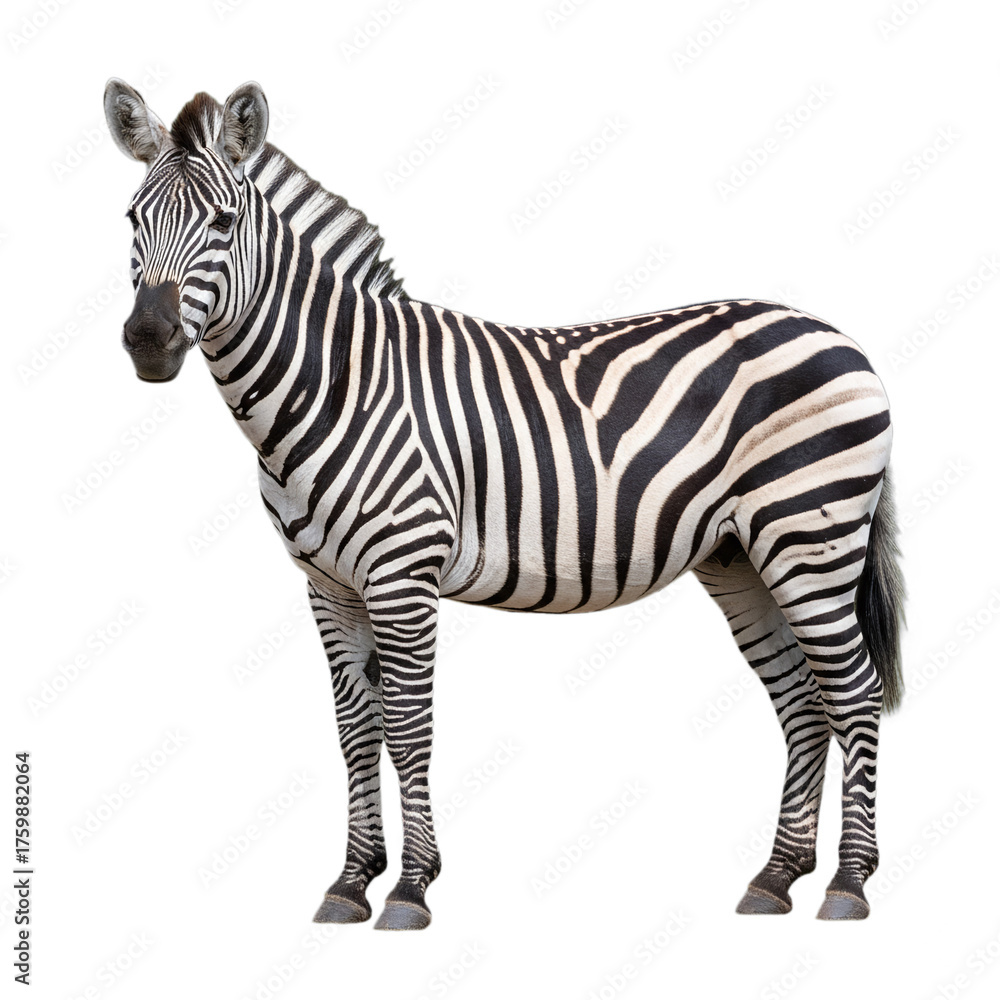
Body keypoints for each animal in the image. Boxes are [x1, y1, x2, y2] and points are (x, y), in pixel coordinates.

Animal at [104, 78, 904, 929]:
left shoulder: (402, 573)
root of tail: (834, 333)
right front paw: (351, 881)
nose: (148, 340)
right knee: (803, 700)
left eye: (224, 223)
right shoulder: (327, 585)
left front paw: (411, 888)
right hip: (741, 555)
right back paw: (777, 877)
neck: (338, 383)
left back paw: (849, 882)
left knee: (855, 692)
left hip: (809, 537)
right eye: (131, 220)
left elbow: (408, 727)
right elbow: (356, 730)